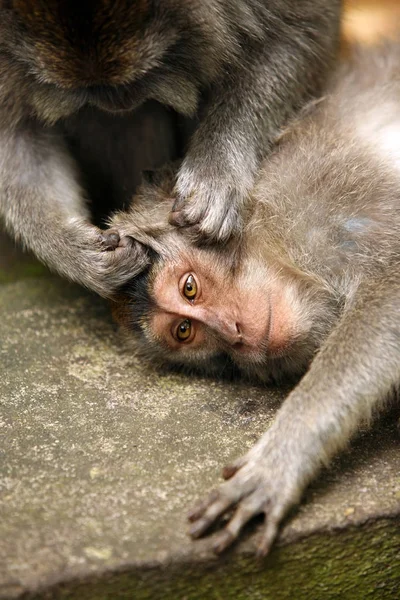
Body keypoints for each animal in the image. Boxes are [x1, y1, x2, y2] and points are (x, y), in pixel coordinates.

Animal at [0, 1, 340, 296]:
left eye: (139, 78)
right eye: (90, 89)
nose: (119, 104)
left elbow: (300, 31)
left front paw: (216, 169)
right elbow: (17, 132)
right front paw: (72, 250)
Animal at [106, 42, 400, 556]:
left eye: (189, 287)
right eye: (186, 332)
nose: (236, 333)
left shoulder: (333, 189)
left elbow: (392, 287)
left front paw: (278, 461)